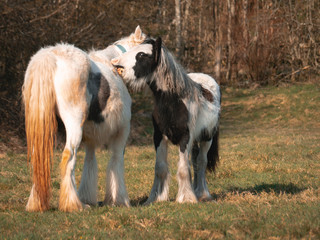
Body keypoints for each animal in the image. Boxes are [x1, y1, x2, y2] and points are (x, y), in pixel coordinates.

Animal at [22, 26, 146, 212]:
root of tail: (51, 56)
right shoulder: (122, 132)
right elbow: (116, 162)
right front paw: (119, 201)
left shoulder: (90, 140)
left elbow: (90, 164)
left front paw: (88, 197)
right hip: (73, 126)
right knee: (68, 157)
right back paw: (73, 205)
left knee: (39, 162)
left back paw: (36, 204)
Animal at [112, 37, 220, 204]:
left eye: (142, 54)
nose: (117, 65)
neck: (173, 102)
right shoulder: (159, 137)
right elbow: (160, 168)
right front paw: (157, 197)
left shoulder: (185, 138)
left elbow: (183, 169)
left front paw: (186, 199)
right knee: (196, 162)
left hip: (206, 139)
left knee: (201, 163)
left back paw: (202, 194)